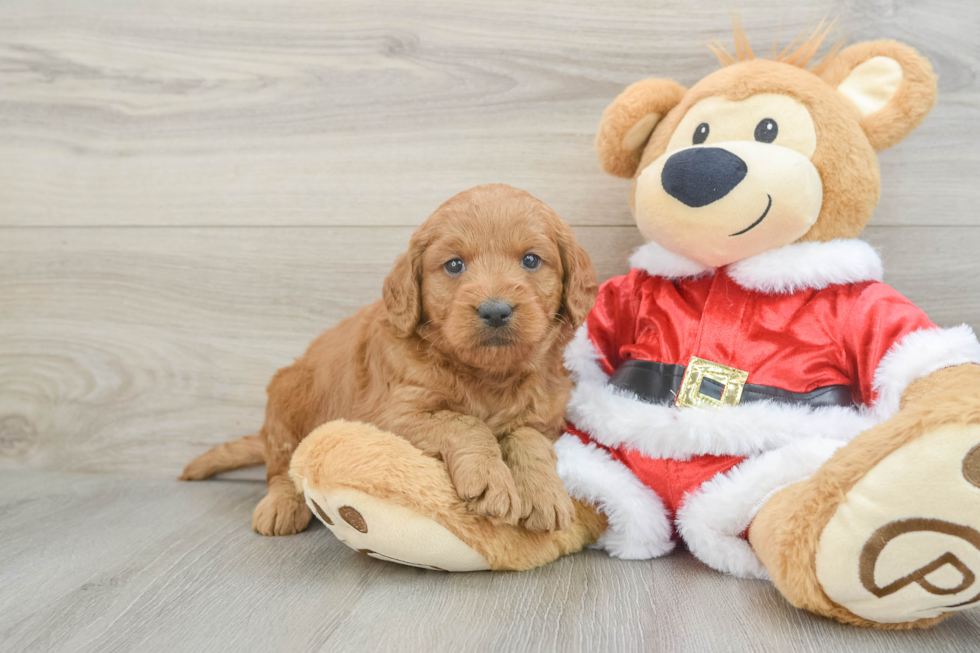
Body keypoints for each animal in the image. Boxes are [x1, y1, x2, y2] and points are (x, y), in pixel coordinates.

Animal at [183, 182, 596, 536]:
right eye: (454, 265)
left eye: (531, 260)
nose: (495, 311)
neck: (487, 375)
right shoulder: (390, 415)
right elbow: (465, 422)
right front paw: (490, 478)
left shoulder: (547, 416)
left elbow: (528, 437)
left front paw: (545, 495)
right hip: (286, 398)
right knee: (283, 467)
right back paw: (281, 506)